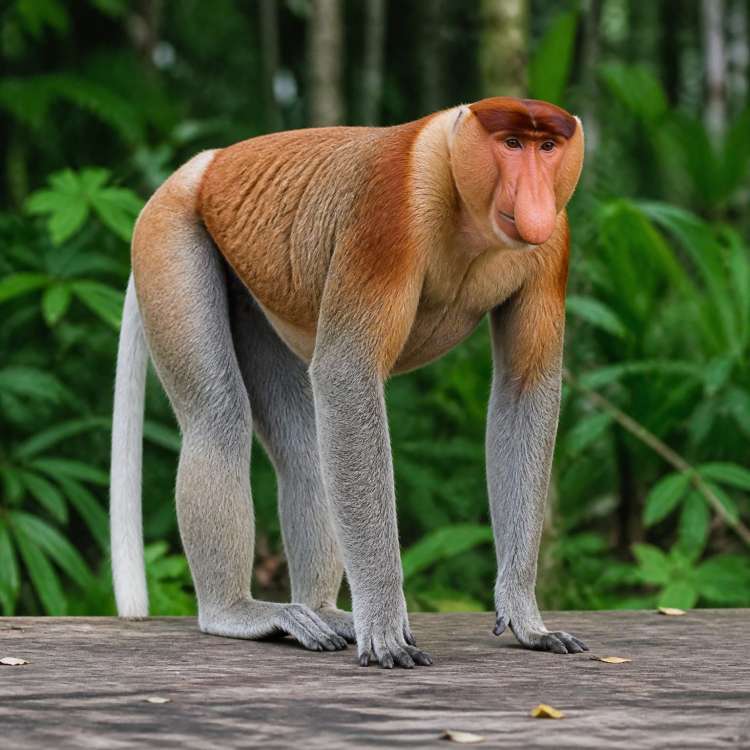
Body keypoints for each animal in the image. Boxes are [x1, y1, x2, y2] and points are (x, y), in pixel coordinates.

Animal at [110, 96, 587, 669]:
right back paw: (239, 613)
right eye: (512, 143)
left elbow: (523, 388)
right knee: (216, 420)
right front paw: (384, 630)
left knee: (302, 448)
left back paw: (321, 610)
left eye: (548, 147)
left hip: (256, 289)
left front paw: (527, 621)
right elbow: (347, 373)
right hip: (170, 236)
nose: (535, 197)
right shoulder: (386, 213)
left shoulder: (552, 244)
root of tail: (202, 166)